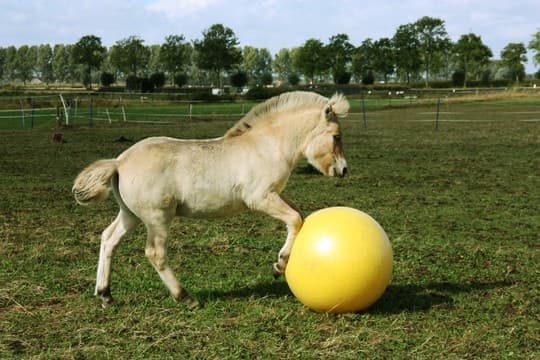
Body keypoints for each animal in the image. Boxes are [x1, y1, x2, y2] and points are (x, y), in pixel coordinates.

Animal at [73, 90, 350, 310]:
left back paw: (105, 295)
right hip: (157, 217)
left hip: (130, 215)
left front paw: (278, 264)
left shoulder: (274, 194)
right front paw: (280, 264)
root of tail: (120, 162)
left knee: (109, 239)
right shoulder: (260, 198)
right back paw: (186, 297)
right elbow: (295, 219)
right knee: (155, 253)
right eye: (336, 136)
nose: (343, 170)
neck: (266, 145)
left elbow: (299, 214)